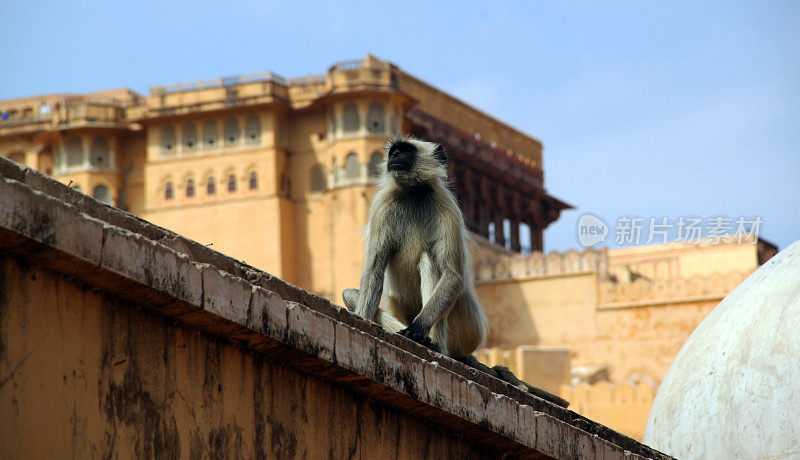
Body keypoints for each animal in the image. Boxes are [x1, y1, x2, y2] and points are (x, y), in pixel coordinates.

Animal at [340, 135, 488, 358]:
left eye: (405, 151)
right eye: (393, 151)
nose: (393, 155)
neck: (412, 192)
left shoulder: (447, 207)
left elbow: (453, 274)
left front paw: (417, 328)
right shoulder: (382, 205)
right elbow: (374, 270)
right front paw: (361, 323)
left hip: (468, 328)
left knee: (430, 260)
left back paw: (435, 345)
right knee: (349, 294)